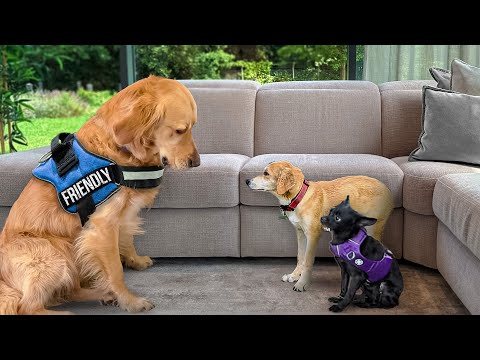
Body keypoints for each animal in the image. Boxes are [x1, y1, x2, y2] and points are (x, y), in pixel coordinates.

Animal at [248, 162, 394, 292]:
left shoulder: (313, 235)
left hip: (374, 229)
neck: (299, 197)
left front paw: (302, 284)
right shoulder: (300, 233)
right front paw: (294, 276)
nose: (247, 181)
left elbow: (308, 261)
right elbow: (300, 257)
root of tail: (387, 189)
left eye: (266, 173)